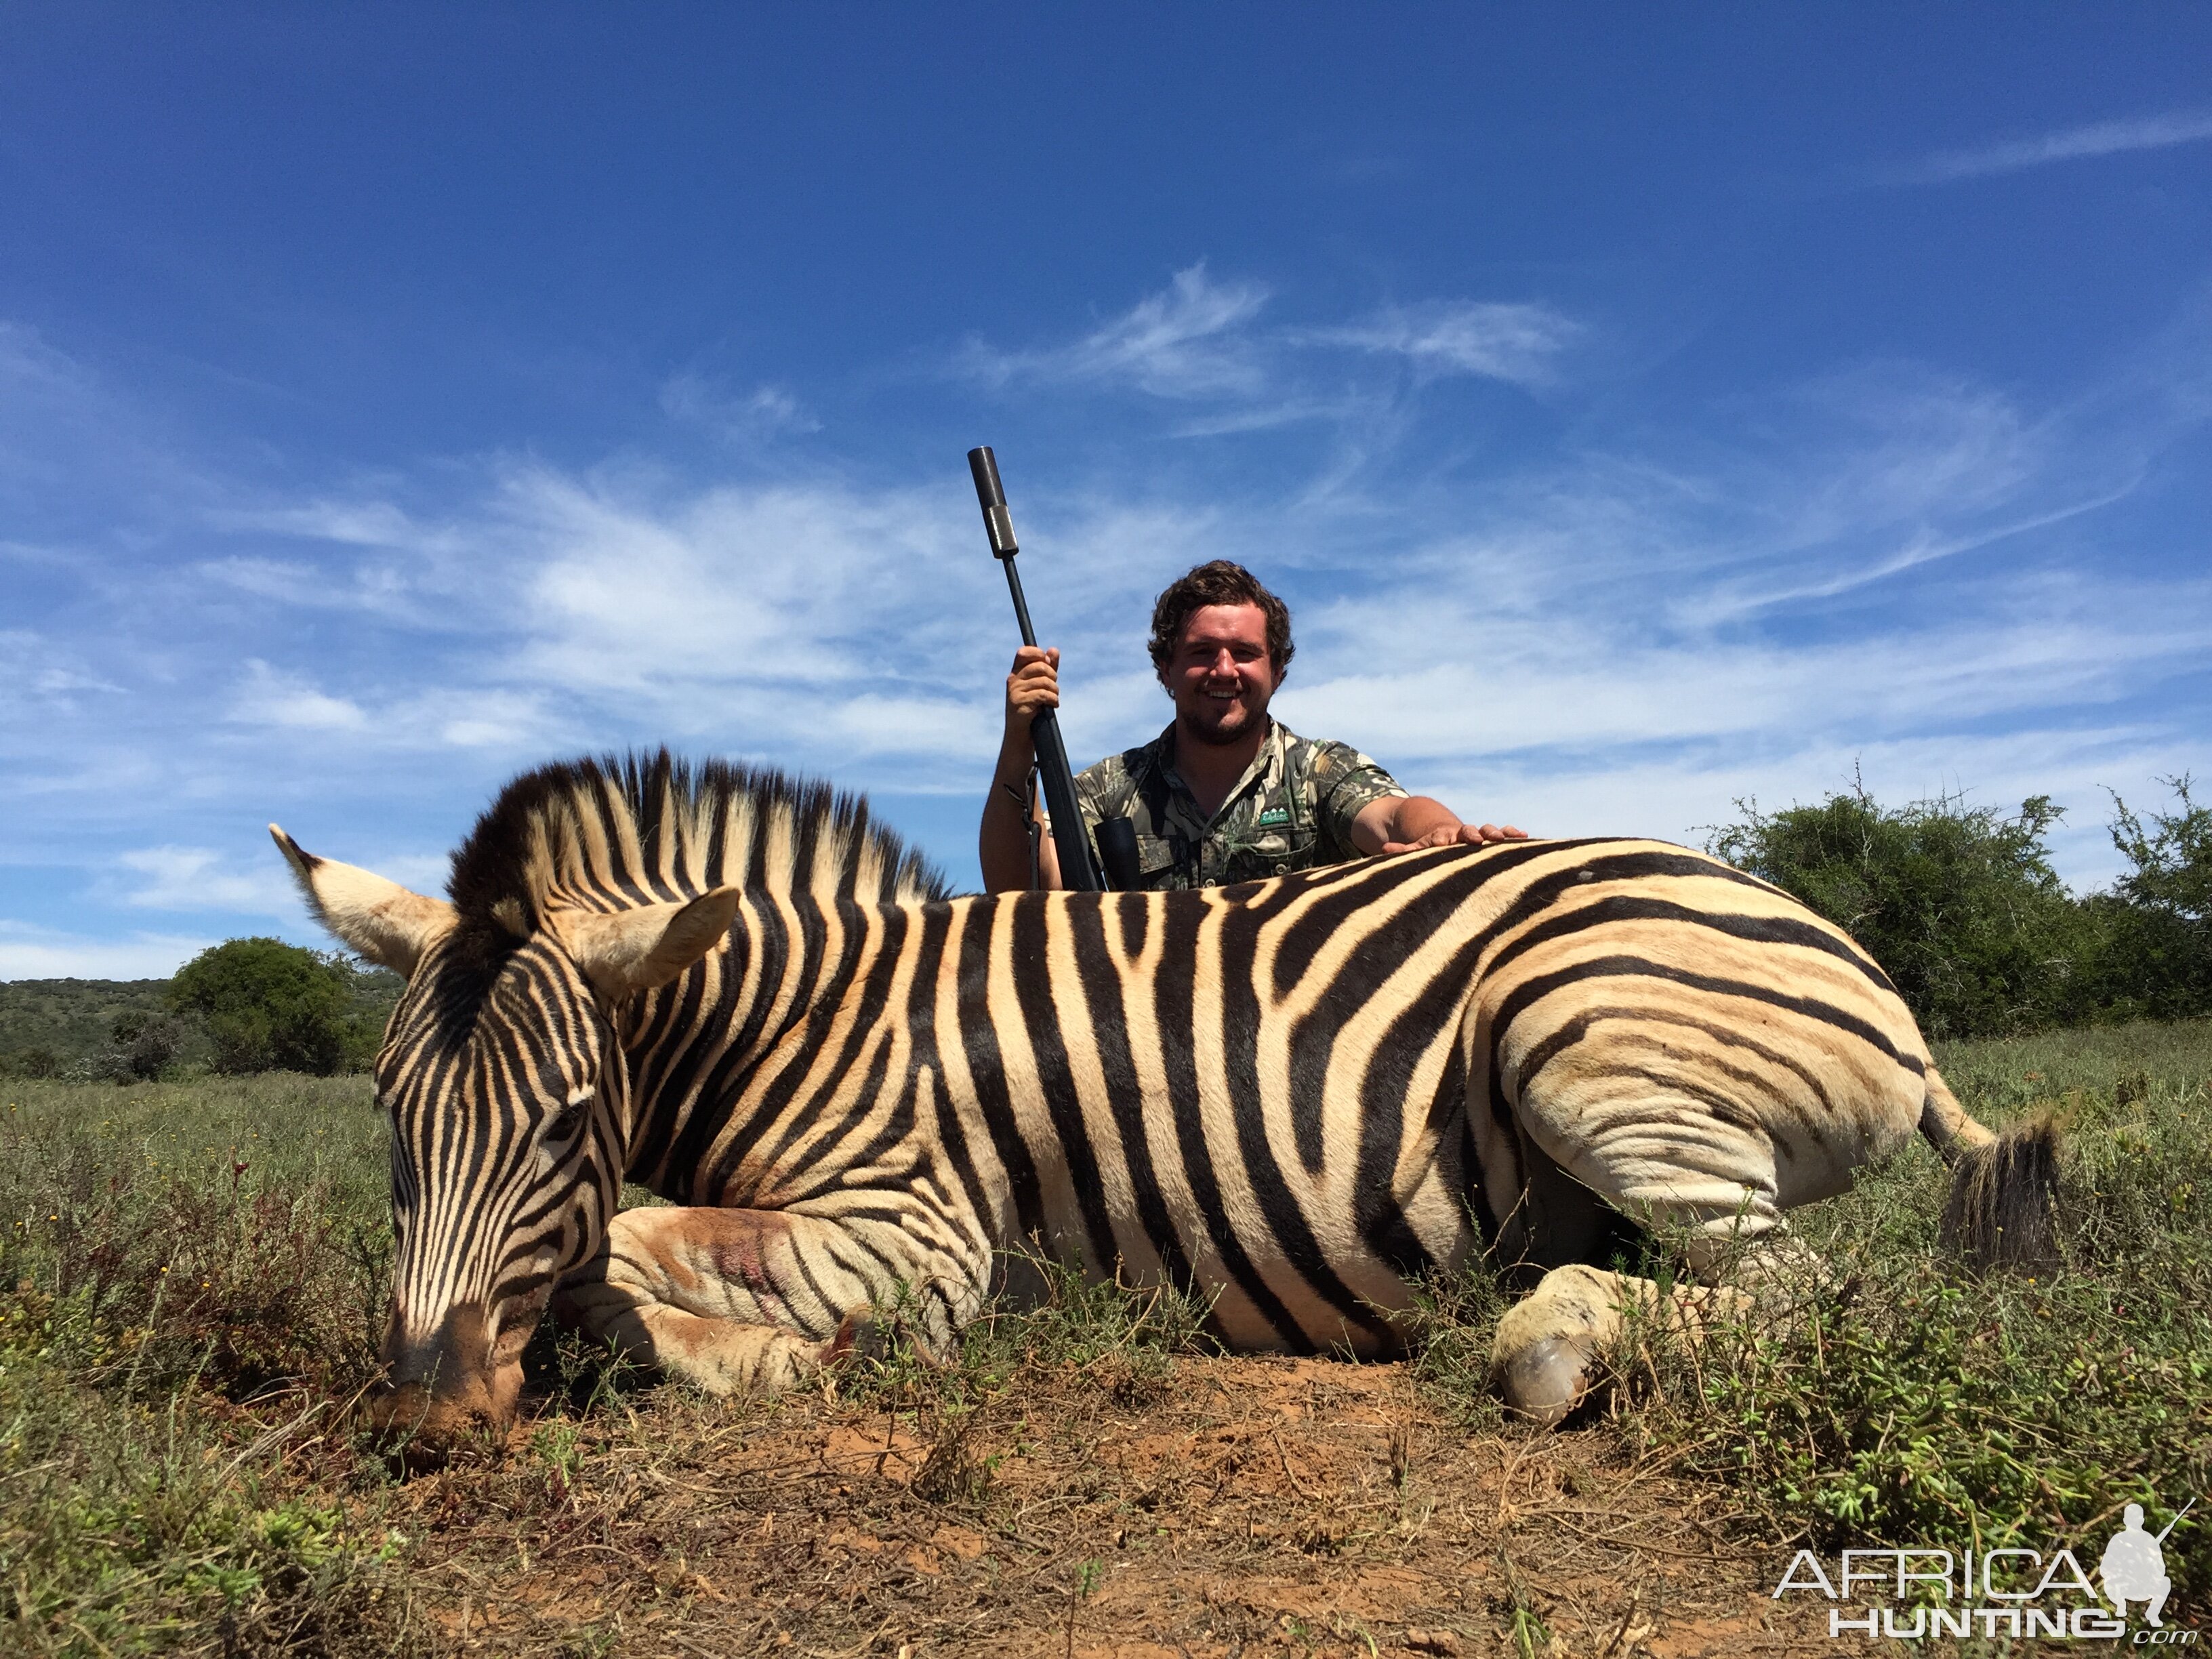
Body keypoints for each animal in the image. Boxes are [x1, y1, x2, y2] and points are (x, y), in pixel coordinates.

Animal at [272, 752, 2052, 1451]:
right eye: (384, 1114)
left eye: (570, 1118)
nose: (427, 1410)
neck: (809, 1014)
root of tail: (1862, 962)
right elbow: (610, 1257)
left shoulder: (920, 1235)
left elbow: (633, 1250)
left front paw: (778, 1357)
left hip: (1583, 1045)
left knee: (1829, 1297)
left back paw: (1553, 1334)